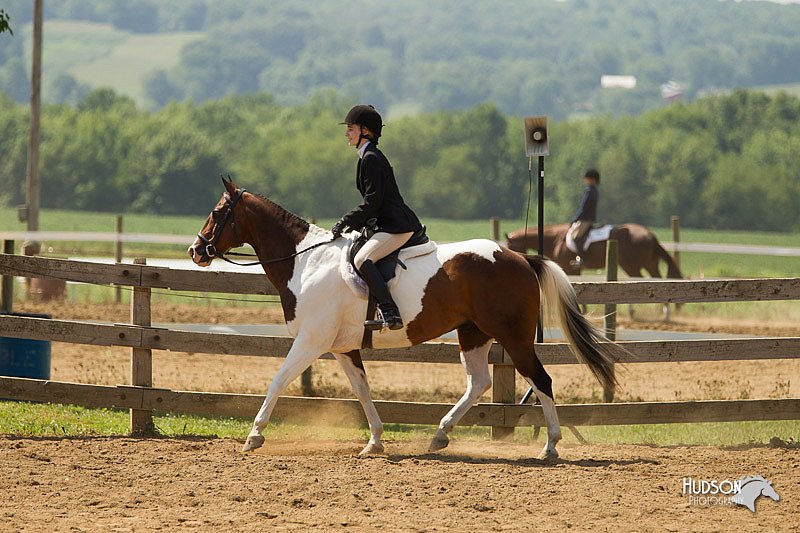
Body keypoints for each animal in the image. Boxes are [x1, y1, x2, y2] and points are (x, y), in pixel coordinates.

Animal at [191, 178, 628, 458]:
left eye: (216, 212)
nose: (197, 250)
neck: (306, 261)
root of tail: (519, 257)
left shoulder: (311, 342)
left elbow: (278, 380)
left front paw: (254, 435)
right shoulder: (343, 348)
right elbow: (362, 391)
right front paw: (375, 442)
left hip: (514, 338)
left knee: (541, 381)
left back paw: (550, 445)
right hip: (473, 334)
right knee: (479, 382)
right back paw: (440, 436)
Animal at [506, 221, 680, 278]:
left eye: (509, 247)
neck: (555, 239)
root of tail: (651, 235)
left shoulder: (569, 268)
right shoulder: (574, 270)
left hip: (631, 266)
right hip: (650, 264)